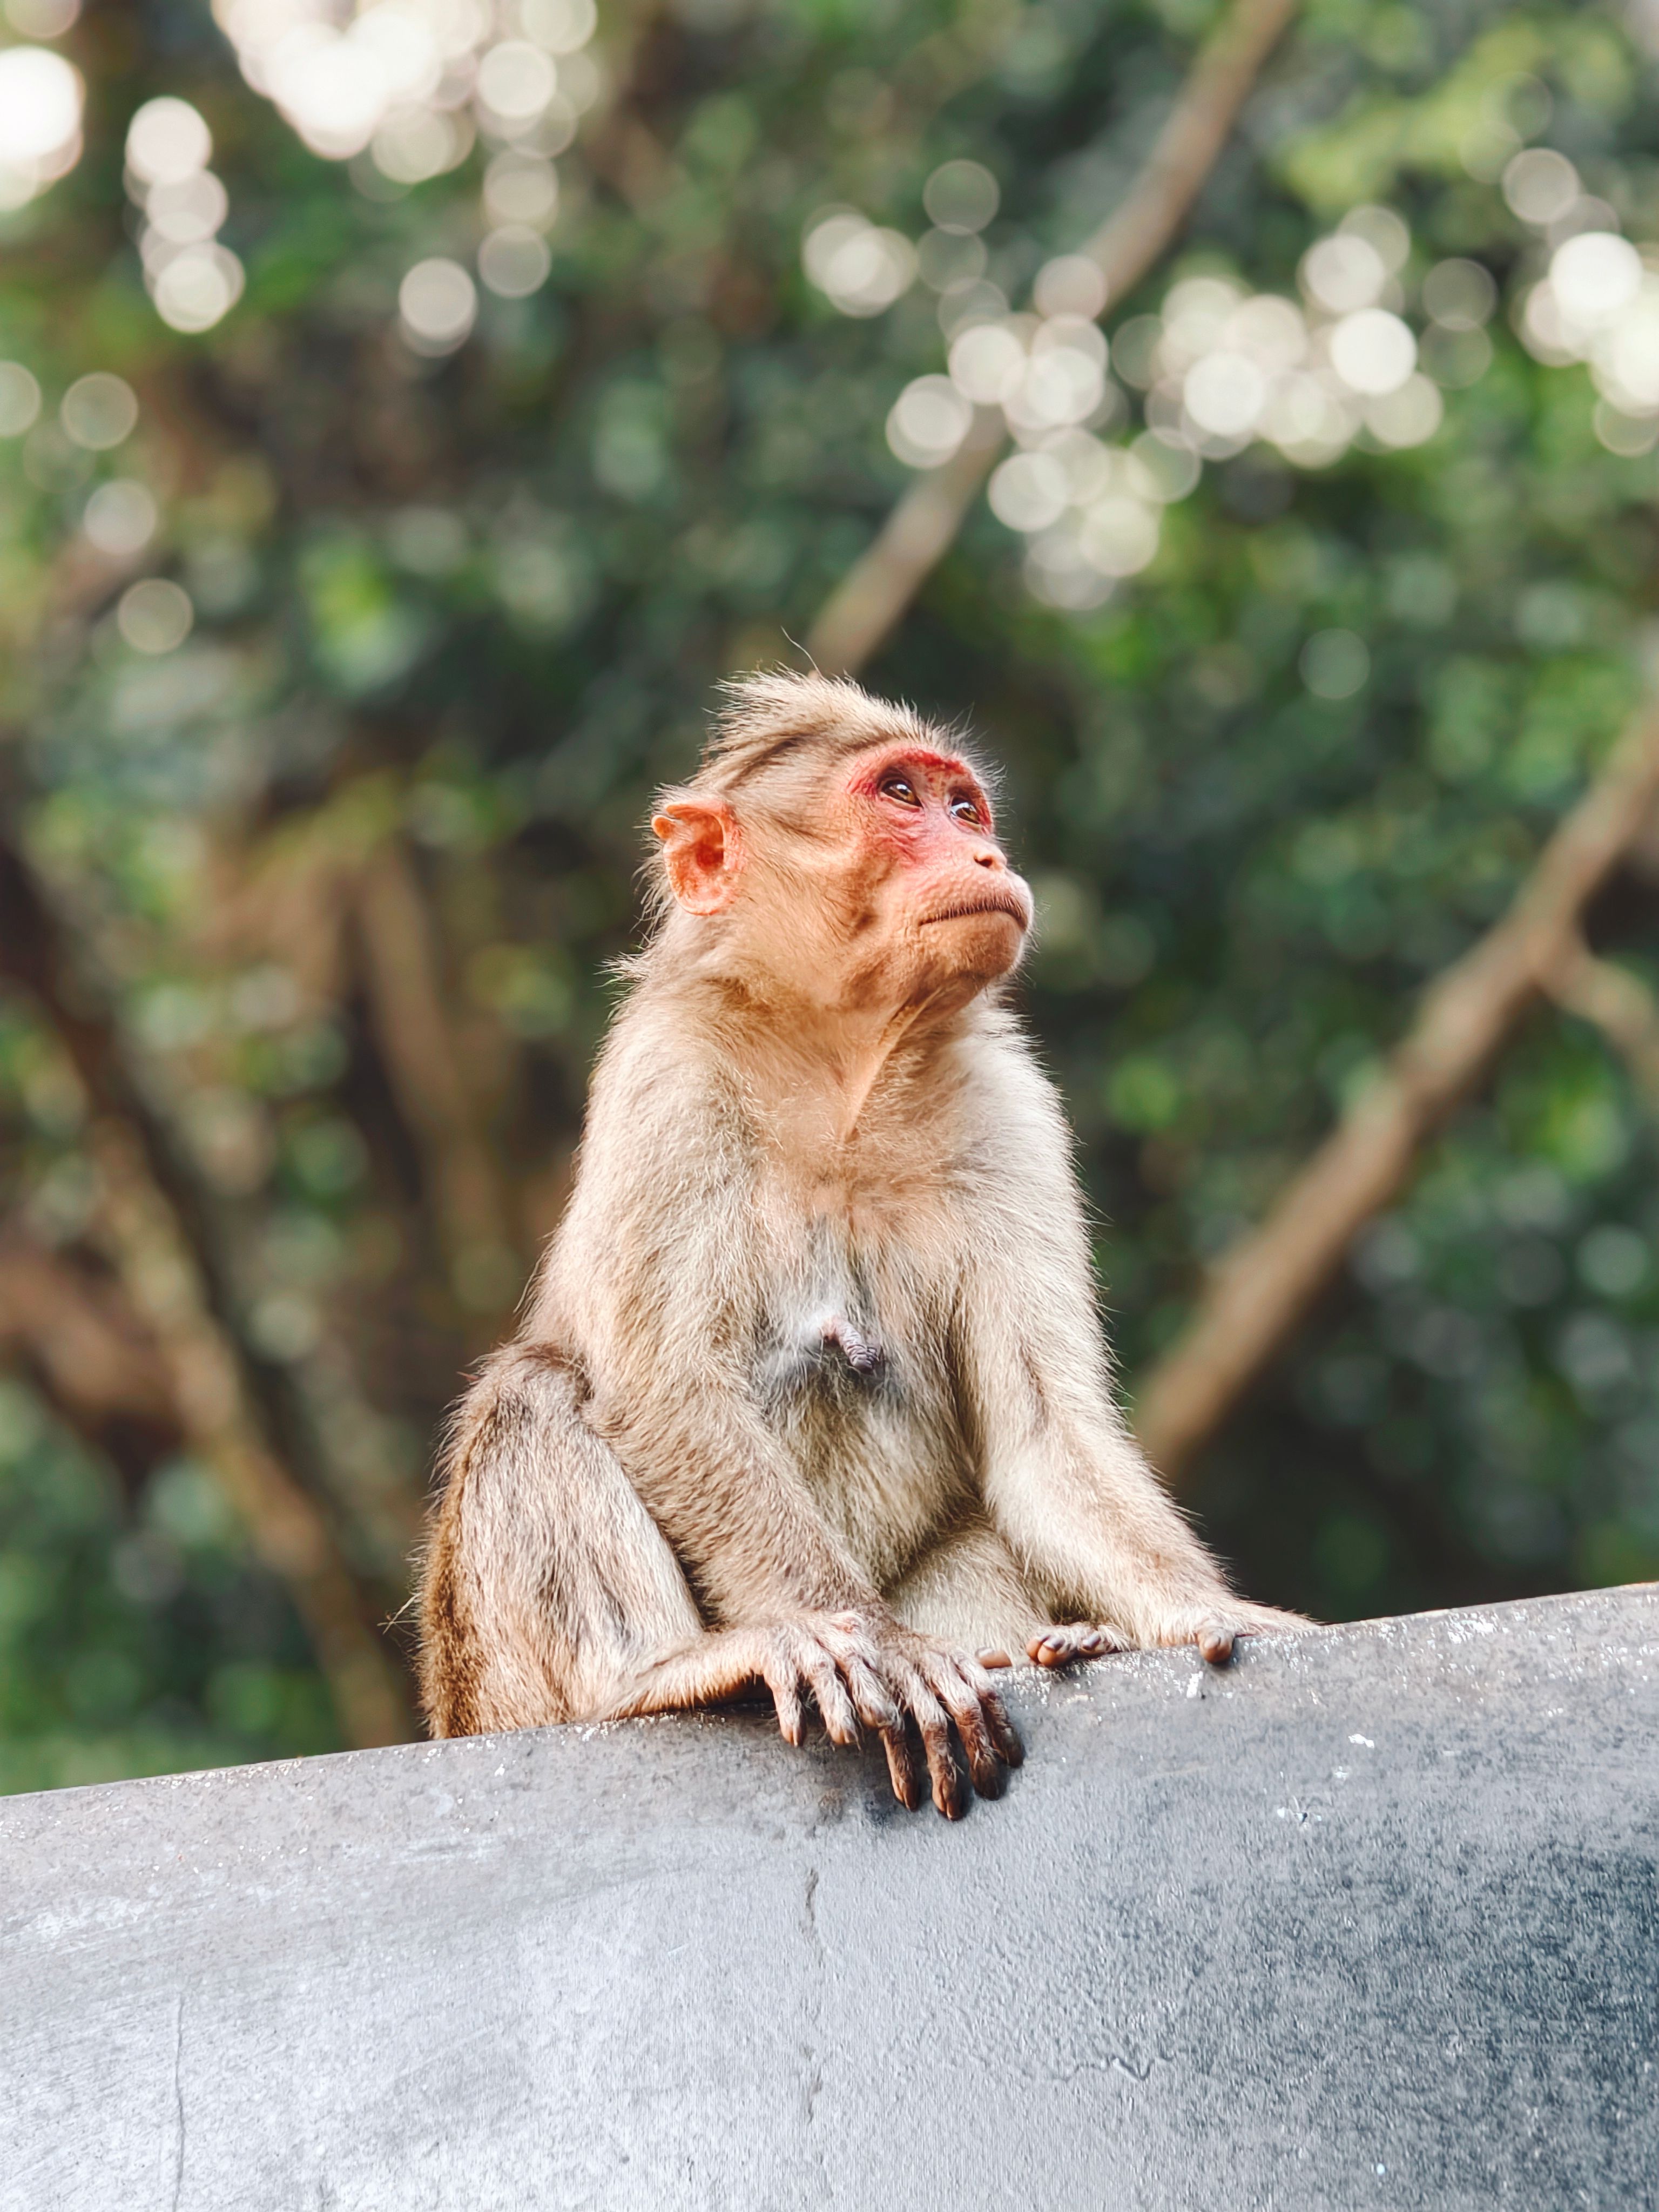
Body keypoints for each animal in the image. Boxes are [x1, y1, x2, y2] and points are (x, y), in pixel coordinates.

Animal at [419, 670, 1305, 1817]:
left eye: (965, 808)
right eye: (897, 796)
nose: (987, 858)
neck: (843, 1074)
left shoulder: (1010, 1112)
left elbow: (1044, 1433)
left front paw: (1206, 1609)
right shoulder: (670, 1071)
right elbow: (666, 1390)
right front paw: (878, 1646)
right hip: (495, 1697)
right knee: (530, 1392)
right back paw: (653, 1677)